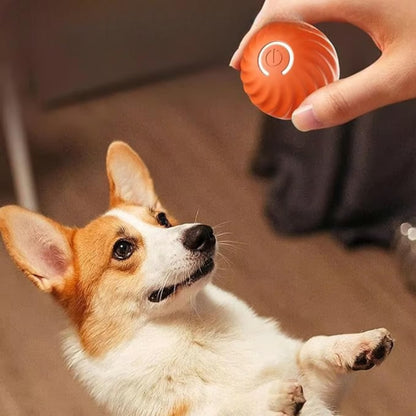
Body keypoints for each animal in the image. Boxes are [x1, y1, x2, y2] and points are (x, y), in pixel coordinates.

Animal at [0, 141, 394, 414]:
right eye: (123, 249)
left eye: (162, 219)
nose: (204, 233)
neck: (194, 327)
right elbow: (226, 406)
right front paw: (267, 398)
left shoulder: (322, 389)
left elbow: (310, 347)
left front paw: (359, 344)